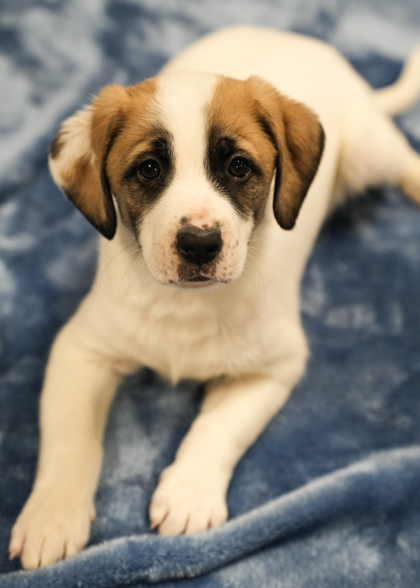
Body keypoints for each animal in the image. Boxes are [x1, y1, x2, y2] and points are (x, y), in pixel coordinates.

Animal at [9, 27, 420, 568]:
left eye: (239, 167)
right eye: (148, 169)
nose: (200, 244)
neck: (187, 304)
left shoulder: (274, 366)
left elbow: (218, 429)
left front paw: (189, 491)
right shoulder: (81, 350)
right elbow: (70, 440)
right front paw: (52, 516)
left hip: (371, 151)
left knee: (404, 159)